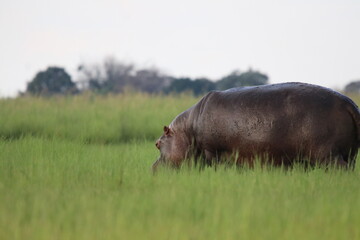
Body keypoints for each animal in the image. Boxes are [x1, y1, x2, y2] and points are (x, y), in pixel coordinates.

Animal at [153, 82, 360, 171]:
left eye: (157, 144)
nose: (152, 168)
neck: (187, 130)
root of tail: (349, 104)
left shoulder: (212, 151)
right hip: (349, 154)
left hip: (328, 154)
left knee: (340, 169)